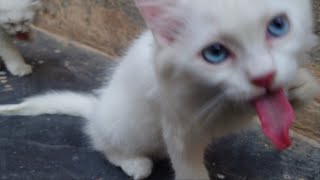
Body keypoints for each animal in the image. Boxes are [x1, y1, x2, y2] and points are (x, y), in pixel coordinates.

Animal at [0, 0, 320, 180]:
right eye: (215, 53)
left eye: (278, 26)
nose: (264, 76)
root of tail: (97, 109)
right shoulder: (181, 123)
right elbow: (190, 167)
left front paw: (300, 85)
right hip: (125, 128)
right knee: (104, 145)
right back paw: (135, 164)